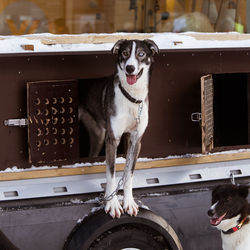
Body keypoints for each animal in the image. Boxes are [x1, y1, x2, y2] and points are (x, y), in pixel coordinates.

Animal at [79, 38, 159, 217]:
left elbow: (128, 174)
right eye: (124, 53)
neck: (132, 98)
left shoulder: (136, 140)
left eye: (141, 54)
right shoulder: (112, 139)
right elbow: (111, 173)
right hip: (99, 135)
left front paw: (129, 202)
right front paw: (112, 203)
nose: (130, 68)